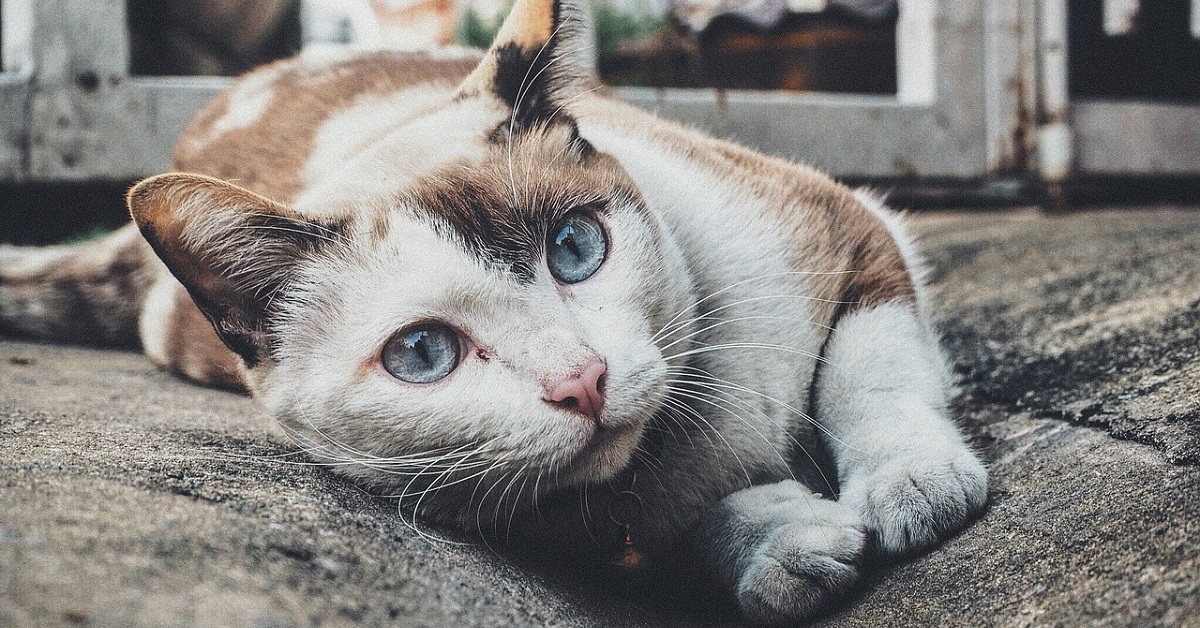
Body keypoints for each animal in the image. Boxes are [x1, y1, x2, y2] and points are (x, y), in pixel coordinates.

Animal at [0, 0, 988, 619]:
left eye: (576, 248)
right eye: (422, 355)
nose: (582, 382)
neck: (687, 436)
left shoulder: (845, 225)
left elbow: (870, 371)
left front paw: (912, 485)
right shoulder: (530, 519)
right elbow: (668, 533)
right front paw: (781, 545)